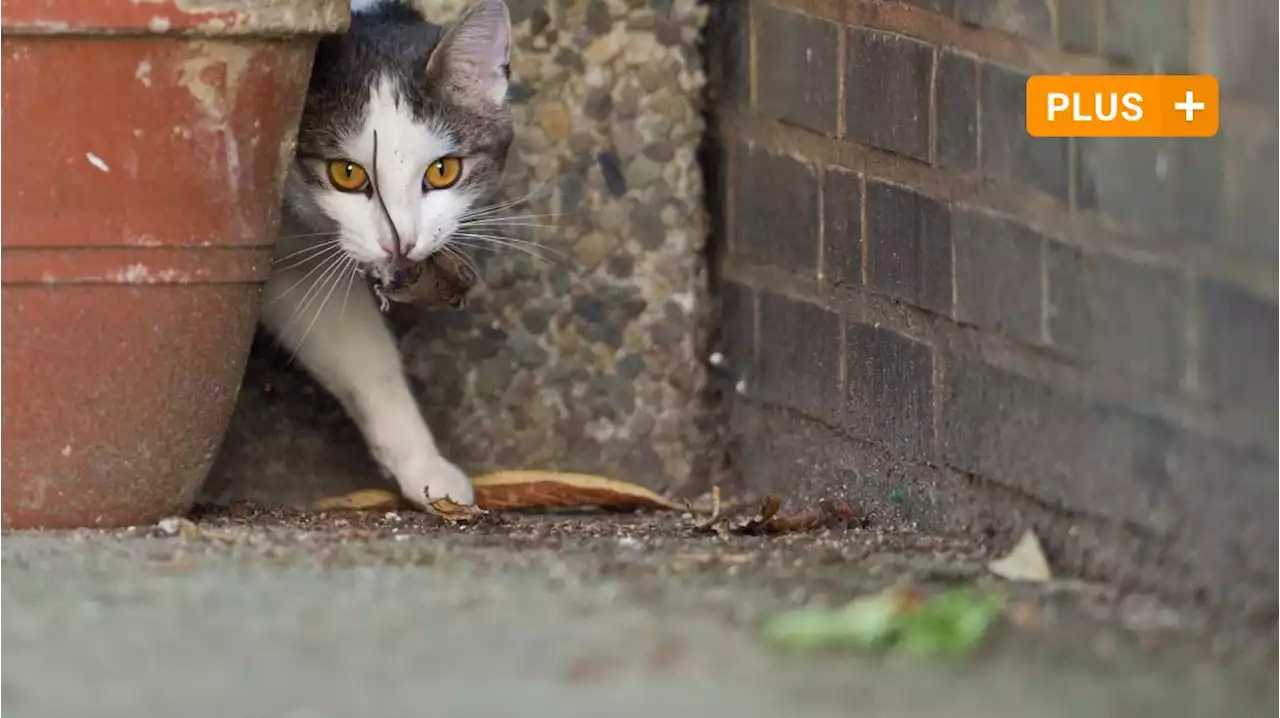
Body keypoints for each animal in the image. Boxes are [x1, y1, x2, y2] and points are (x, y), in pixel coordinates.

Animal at [259, 0, 514, 506]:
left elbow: (366, 359)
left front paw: (423, 467)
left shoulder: (299, 265)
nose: (401, 241)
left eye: (443, 170)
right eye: (346, 174)